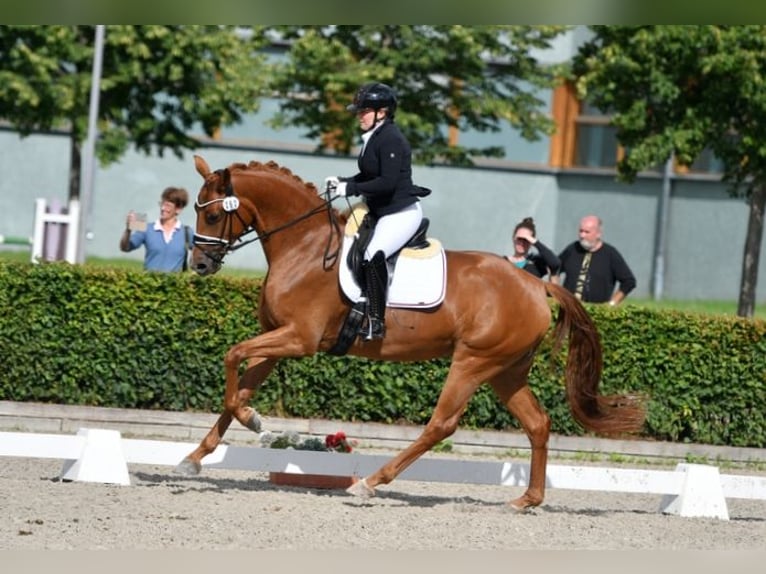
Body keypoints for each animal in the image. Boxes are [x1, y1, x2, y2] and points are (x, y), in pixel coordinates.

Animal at [176, 155, 648, 510]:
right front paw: (195, 457)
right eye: (197, 209)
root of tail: (537, 284)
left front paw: (253, 422)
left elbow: (232, 358)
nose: (198, 265)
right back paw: (525, 500)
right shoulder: (279, 340)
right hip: (506, 370)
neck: (304, 247)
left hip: (474, 361)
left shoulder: (299, 339)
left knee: (441, 425)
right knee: (538, 423)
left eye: (213, 213)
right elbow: (239, 384)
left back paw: (369, 483)